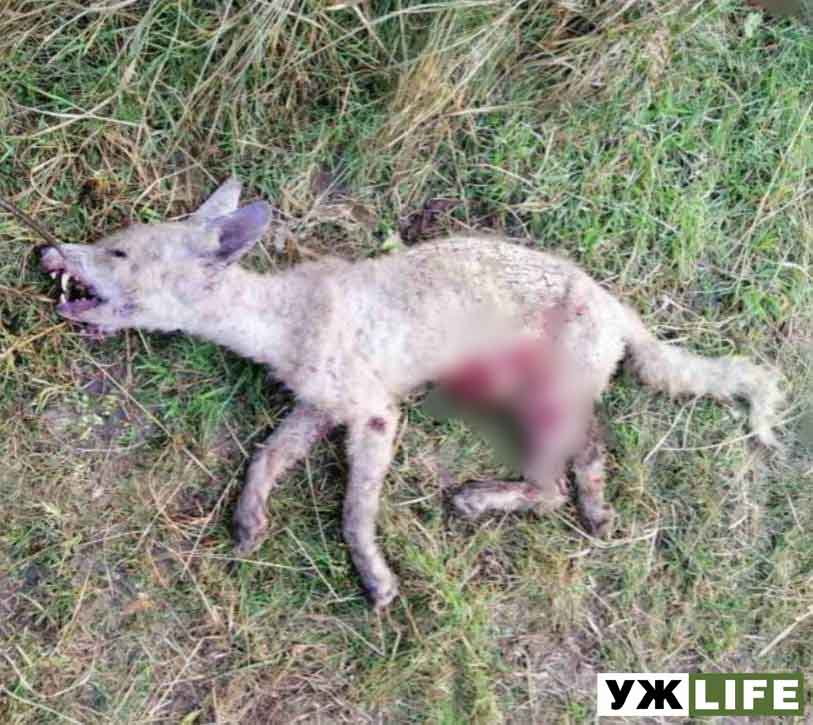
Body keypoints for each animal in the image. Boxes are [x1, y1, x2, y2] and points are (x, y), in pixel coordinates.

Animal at [38, 177, 784, 609]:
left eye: (118, 253)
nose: (48, 250)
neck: (284, 319)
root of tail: (617, 305)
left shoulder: (374, 413)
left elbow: (353, 511)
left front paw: (375, 579)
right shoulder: (316, 406)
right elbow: (264, 458)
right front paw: (249, 524)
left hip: (542, 399)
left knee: (548, 488)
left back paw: (481, 500)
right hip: (531, 392)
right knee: (589, 450)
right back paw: (597, 513)